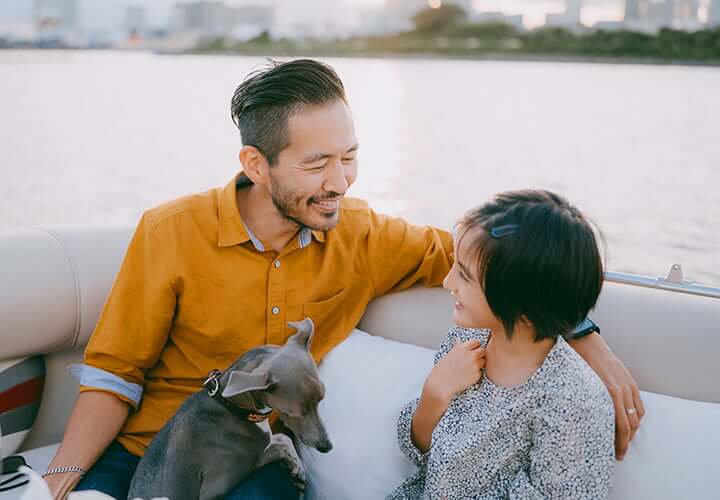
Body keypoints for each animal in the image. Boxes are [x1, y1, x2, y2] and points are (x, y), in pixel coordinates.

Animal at [127, 318, 332, 500]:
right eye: (293, 413)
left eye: (322, 399)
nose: (326, 447)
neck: (231, 407)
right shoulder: (214, 487)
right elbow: (268, 451)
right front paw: (292, 463)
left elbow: (282, 438)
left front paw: (298, 466)